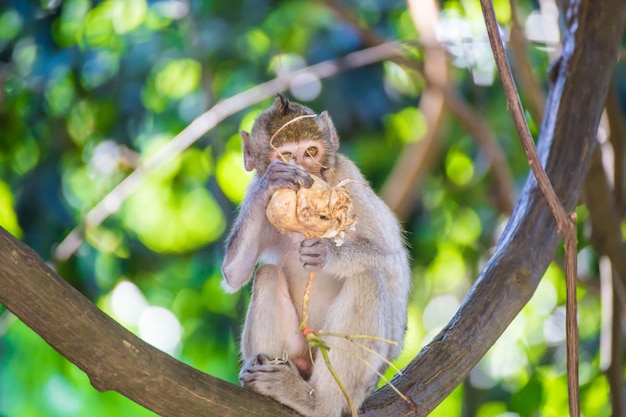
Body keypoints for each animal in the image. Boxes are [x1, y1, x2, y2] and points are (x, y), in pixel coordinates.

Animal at [221, 94, 410, 416]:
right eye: (286, 156)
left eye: (311, 151)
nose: (306, 171)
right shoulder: (251, 191)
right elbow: (234, 273)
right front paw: (274, 179)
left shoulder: (348, 177)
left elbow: (393, 264)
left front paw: (326, 254)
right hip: (299, 352)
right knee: (266, 274)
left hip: (362, 381)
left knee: (368, 278)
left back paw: (318, 402)